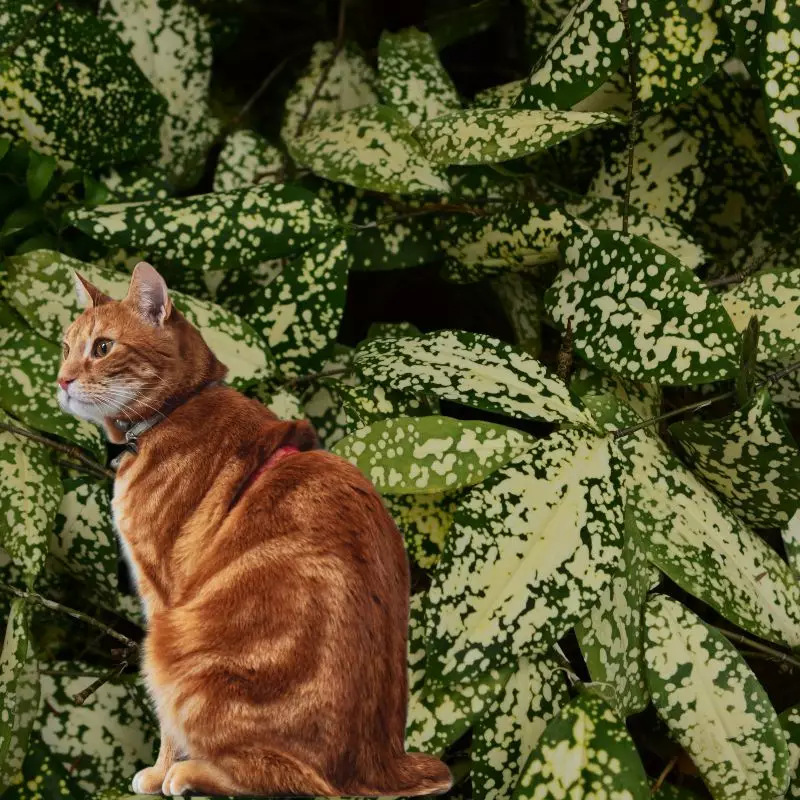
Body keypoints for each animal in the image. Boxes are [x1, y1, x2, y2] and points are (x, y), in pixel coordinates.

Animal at [57, 264, 450, 800]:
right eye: (65, 346)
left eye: (102, 347)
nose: (61, 380)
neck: (177, 409)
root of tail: (379, 765)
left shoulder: (162, 595)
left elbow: (167, 725)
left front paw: (159, 771)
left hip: (172, 646)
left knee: (289, 779)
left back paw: (191, 774)